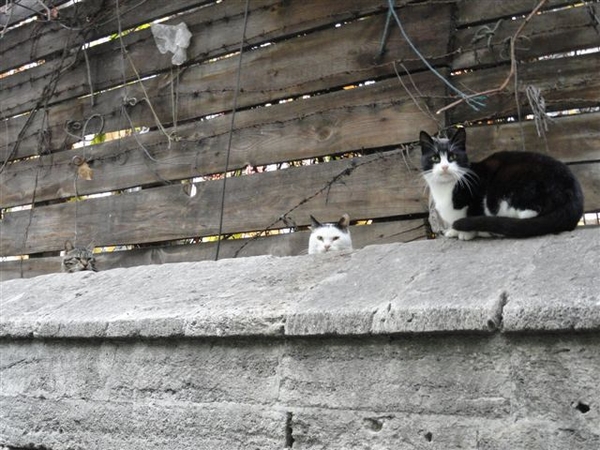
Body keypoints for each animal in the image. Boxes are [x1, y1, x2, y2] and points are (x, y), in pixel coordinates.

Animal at [420, 128, 584, 241]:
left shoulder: (478, 192)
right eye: (435, 158)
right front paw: (453, 231)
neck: (445, 190)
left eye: (453, 156)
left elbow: (472, 211)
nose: (444, 167)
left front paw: (466, 233)